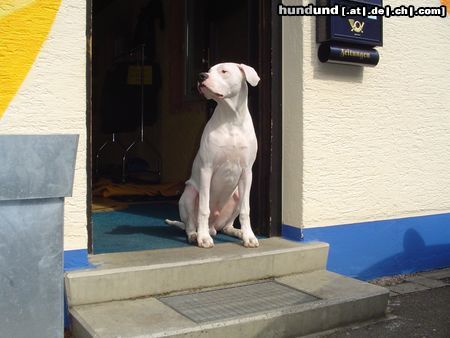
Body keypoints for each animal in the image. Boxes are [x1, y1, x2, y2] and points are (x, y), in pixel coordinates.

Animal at [167, 62, 260, 248]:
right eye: (208, 71)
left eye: (224, 71)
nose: (201, 76)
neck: (231, 118)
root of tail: (213, 226)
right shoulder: (206, 169)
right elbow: (204, 209)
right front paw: (203, 239)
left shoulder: (247, 172)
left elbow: (246, 210)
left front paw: (249, 236)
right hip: (188, 194)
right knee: (190, 224)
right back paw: (196, 235)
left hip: (236, 195)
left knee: (227, 225)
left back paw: (237, 232)